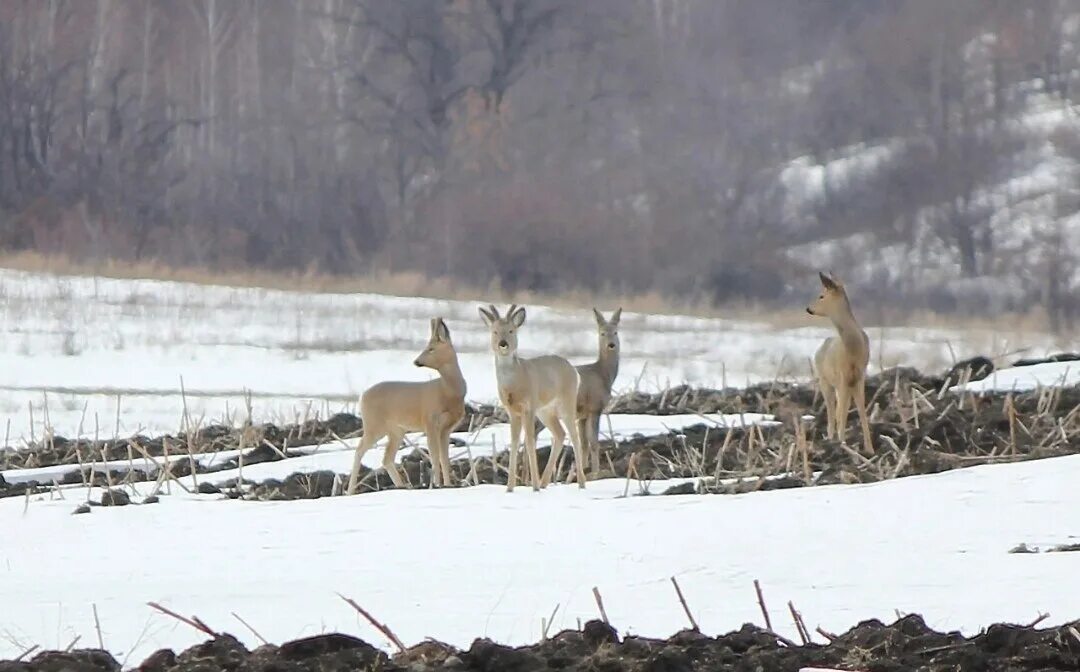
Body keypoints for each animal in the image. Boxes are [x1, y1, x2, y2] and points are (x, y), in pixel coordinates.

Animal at [345, 315, 464, 494]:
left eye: (431, 348)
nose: (416, 361)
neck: (448, 392)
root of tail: (362, 396)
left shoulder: (446, 428)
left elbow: (444, 458)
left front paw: (448, 485)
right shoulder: (430, 421)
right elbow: (435, 456)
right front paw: (436, 485)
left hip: (396, 430)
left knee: (387, 458)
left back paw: (402, 486)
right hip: (374, 425)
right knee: (360, 450)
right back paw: (350, 491)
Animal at [477, 304, 587, 490]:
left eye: (511, 330)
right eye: (495, 331)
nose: (503, 344)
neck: (514, 382)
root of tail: (575, 371)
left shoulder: (529, 406)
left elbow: (529, 441)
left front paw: (533, 486)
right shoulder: (512, 411)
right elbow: (514, 442)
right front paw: (510, 488)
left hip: (566, 401)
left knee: (575, 437)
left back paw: (580, 483)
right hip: (545, 411)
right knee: (560, 434)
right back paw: (544, 482)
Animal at [574, 308, 626, 473]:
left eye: (615, 332)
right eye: (602, 333)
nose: (611, 345)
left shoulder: (582, 415)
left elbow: (583, 445)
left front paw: (584, 470)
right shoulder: (594, 407)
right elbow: (594, 443)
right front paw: (595, 472)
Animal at [807, 271, 872, 455]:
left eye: (821, 295)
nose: (809, 308)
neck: (853, 348)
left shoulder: (859, 376)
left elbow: (861, 410)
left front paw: (869, 449)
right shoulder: (842, 376)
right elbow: (841, 413)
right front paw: (842, 443)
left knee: (838, 409)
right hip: (825, 381)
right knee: (831, 411)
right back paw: (830, 440)